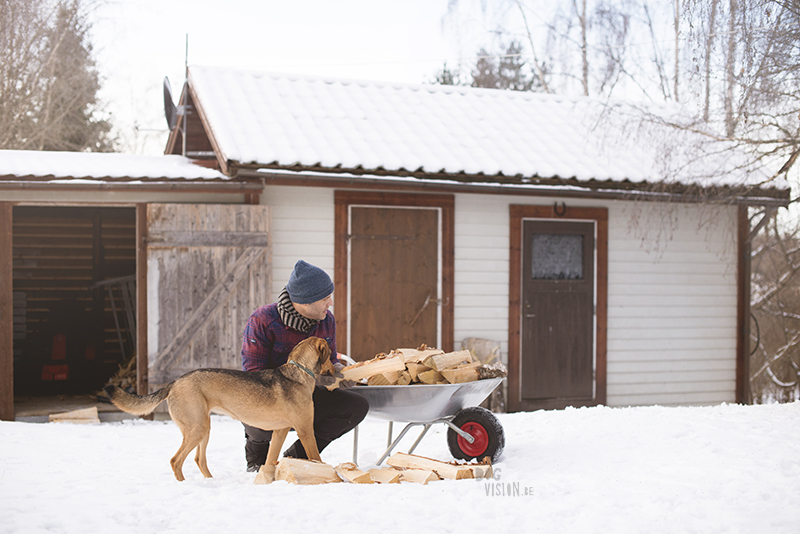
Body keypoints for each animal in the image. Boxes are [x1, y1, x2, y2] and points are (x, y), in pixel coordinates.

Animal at [103, 340, 334, 486]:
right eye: (330, 354)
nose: (335, 367)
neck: (300, 371)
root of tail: (175, 382)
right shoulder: (305, 430)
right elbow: (316, 458)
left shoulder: (280, 431)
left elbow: (270, 459)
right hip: (197, 428)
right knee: (176, 460)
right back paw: (184, 485)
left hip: (204, 428)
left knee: (199, 459)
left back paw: (211, 481)